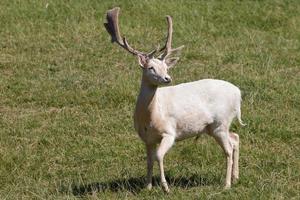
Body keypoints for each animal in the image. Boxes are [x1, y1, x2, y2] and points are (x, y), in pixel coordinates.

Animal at [104, 7, 245, 192]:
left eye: (166, 67)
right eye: (151, 67)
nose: (167, 78)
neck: (150, 119)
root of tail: (238, 94)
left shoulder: (169, 132)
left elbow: (158, 156)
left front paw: (165, 187)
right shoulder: (146, 138)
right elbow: (149, 160)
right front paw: (147, 186)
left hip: (220, 122)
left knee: (228, 149)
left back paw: (226, 184)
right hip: (213, 127)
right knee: (235, 137)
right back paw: (236, 177)